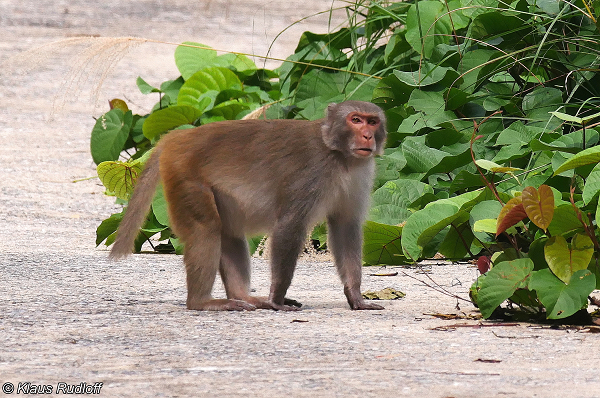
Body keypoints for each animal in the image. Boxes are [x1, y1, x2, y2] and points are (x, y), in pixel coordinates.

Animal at [109, 99, 386, 310]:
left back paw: (244, 297)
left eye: (372, 121)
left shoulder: (360, 174)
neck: (339, 155)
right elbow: (290, 226)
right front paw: (277, 299)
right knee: (206, 229)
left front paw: (356, 296)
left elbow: (345, 227)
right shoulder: (312, 173)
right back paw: (202, 302)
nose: (367, 136)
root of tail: (176, 137)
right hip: (185, 177)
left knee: (228, 232)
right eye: (355, 120)